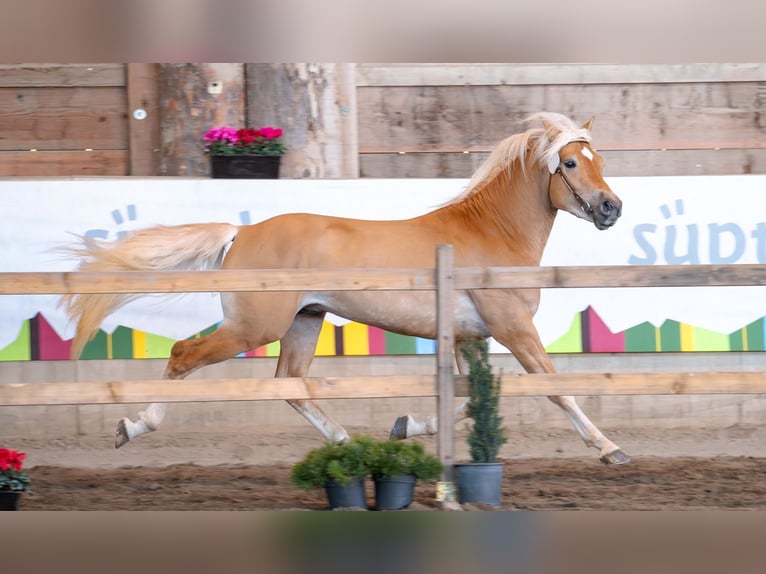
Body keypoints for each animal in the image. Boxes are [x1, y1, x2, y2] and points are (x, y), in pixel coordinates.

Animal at [61, 113, 632, 468]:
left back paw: (348, 444)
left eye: (601, 161)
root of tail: (241, 232)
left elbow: (468, 398)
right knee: (184, 354)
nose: (612, 209)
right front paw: (610, 448)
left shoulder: (472, 337)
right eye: (571, 163)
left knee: (290, 384)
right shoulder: (513, 328)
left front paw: (404, 425)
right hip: (253, 326)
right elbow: (556, 388)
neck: (489, 233)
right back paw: (132, 427)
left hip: (304, 321)